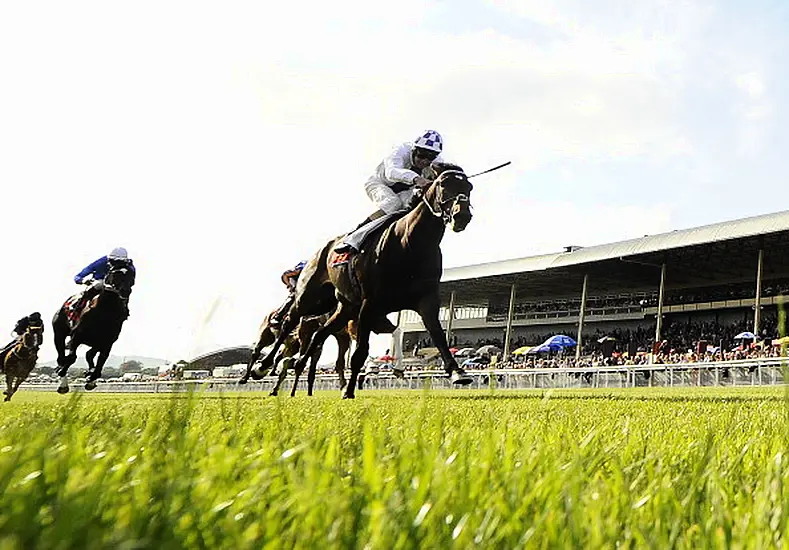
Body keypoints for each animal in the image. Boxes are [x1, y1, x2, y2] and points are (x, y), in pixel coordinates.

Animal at [52, 266, 133, 394]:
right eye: (115, 273)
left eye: (132, 275)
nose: (125, 290)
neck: (105, 313)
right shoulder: (77, 336)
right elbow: (71, 358)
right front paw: (62, 374)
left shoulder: (107, 342)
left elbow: (99, 362)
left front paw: (91, 379)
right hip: (58, 334)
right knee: (61, 358)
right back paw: (63, 382)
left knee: (88, 354)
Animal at [252, 164, 474, 402]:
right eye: (443, 184)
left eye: (469, 187)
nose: (462, 215)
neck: (409, 244)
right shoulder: (370, 304)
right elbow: (360, 352)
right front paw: (348, 391)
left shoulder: (425, 300)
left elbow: (438, 335)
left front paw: (457, 372)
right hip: (311, 299)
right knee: (289, 323)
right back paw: (262, 366)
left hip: (344, 307)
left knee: (320, 334)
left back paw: (298, 364)